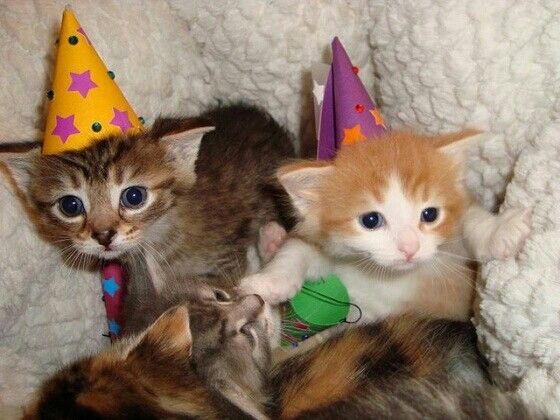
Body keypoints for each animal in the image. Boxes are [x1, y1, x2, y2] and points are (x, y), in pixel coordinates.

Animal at [238, 131, 532, 322]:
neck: (388, 277)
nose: (409, 248)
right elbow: (296, 248)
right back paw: (272, 239)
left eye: (430, 214)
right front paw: (268, 281)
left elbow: (470, 219)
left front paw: (501, 231)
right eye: (371, 220)